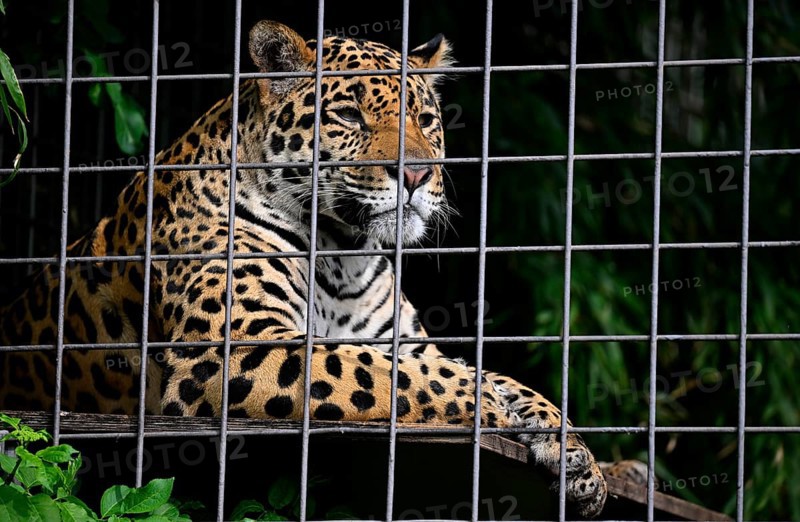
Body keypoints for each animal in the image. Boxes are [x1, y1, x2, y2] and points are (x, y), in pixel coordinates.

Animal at [0, 20, 607, 517]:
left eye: (426, 120)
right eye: (349, 115)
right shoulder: (234, 346)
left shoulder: (404, 341)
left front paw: (575, 452)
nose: (416, 175)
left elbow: (488, 375)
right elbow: (385, 373)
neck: (343, 255)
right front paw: (487, 403)